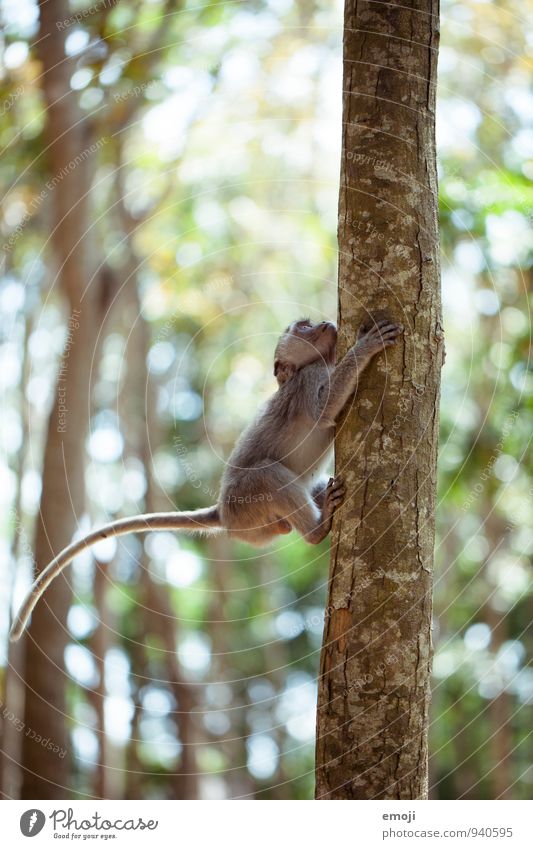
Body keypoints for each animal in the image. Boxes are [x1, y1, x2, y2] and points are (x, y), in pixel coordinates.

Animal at [9, 314, 400, 640]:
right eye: (303, 326)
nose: (323, 323)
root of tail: (223, 513)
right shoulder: (309, 379)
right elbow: (323, 410)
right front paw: (365, 347)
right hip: (246, 502)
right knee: (267, 474)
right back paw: (318, 529)